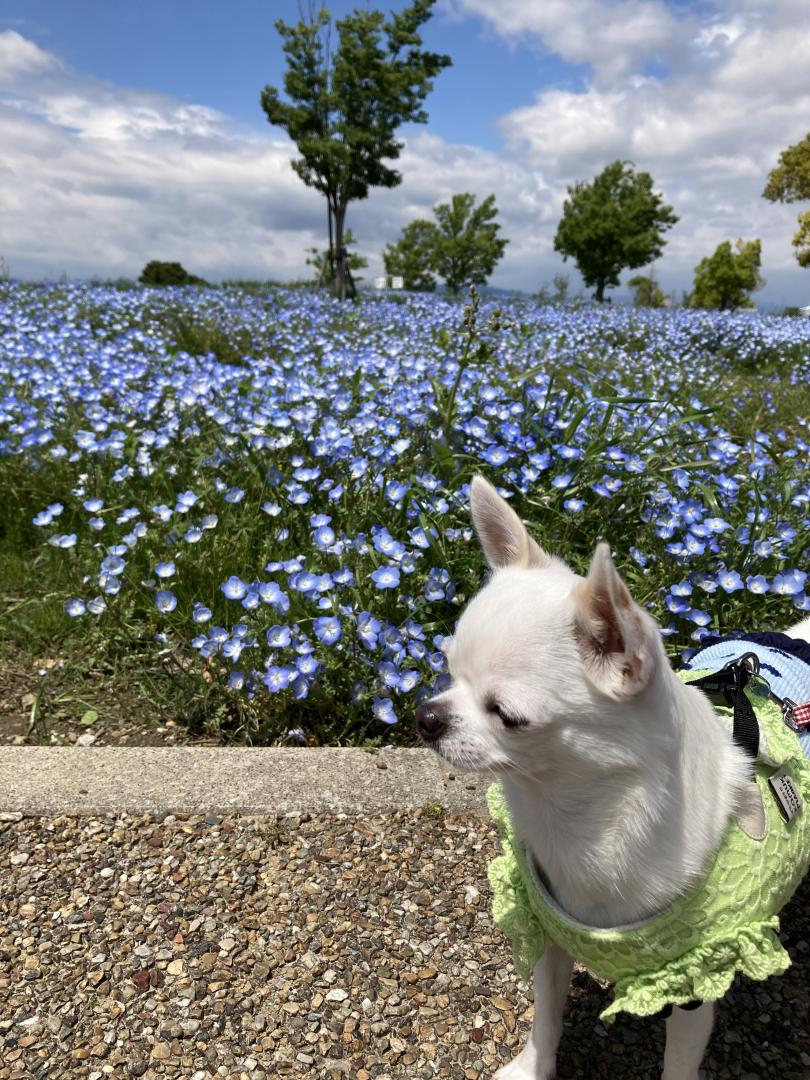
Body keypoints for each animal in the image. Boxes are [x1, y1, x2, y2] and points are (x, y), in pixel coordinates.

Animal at [419, 479, 810, 1080]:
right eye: (448, 670)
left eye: (506, 715)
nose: (425, 717)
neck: (576, 818)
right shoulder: (548, 933)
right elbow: (545, 1018)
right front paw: (532, 1066)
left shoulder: (693, 982)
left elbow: (679, 1065)